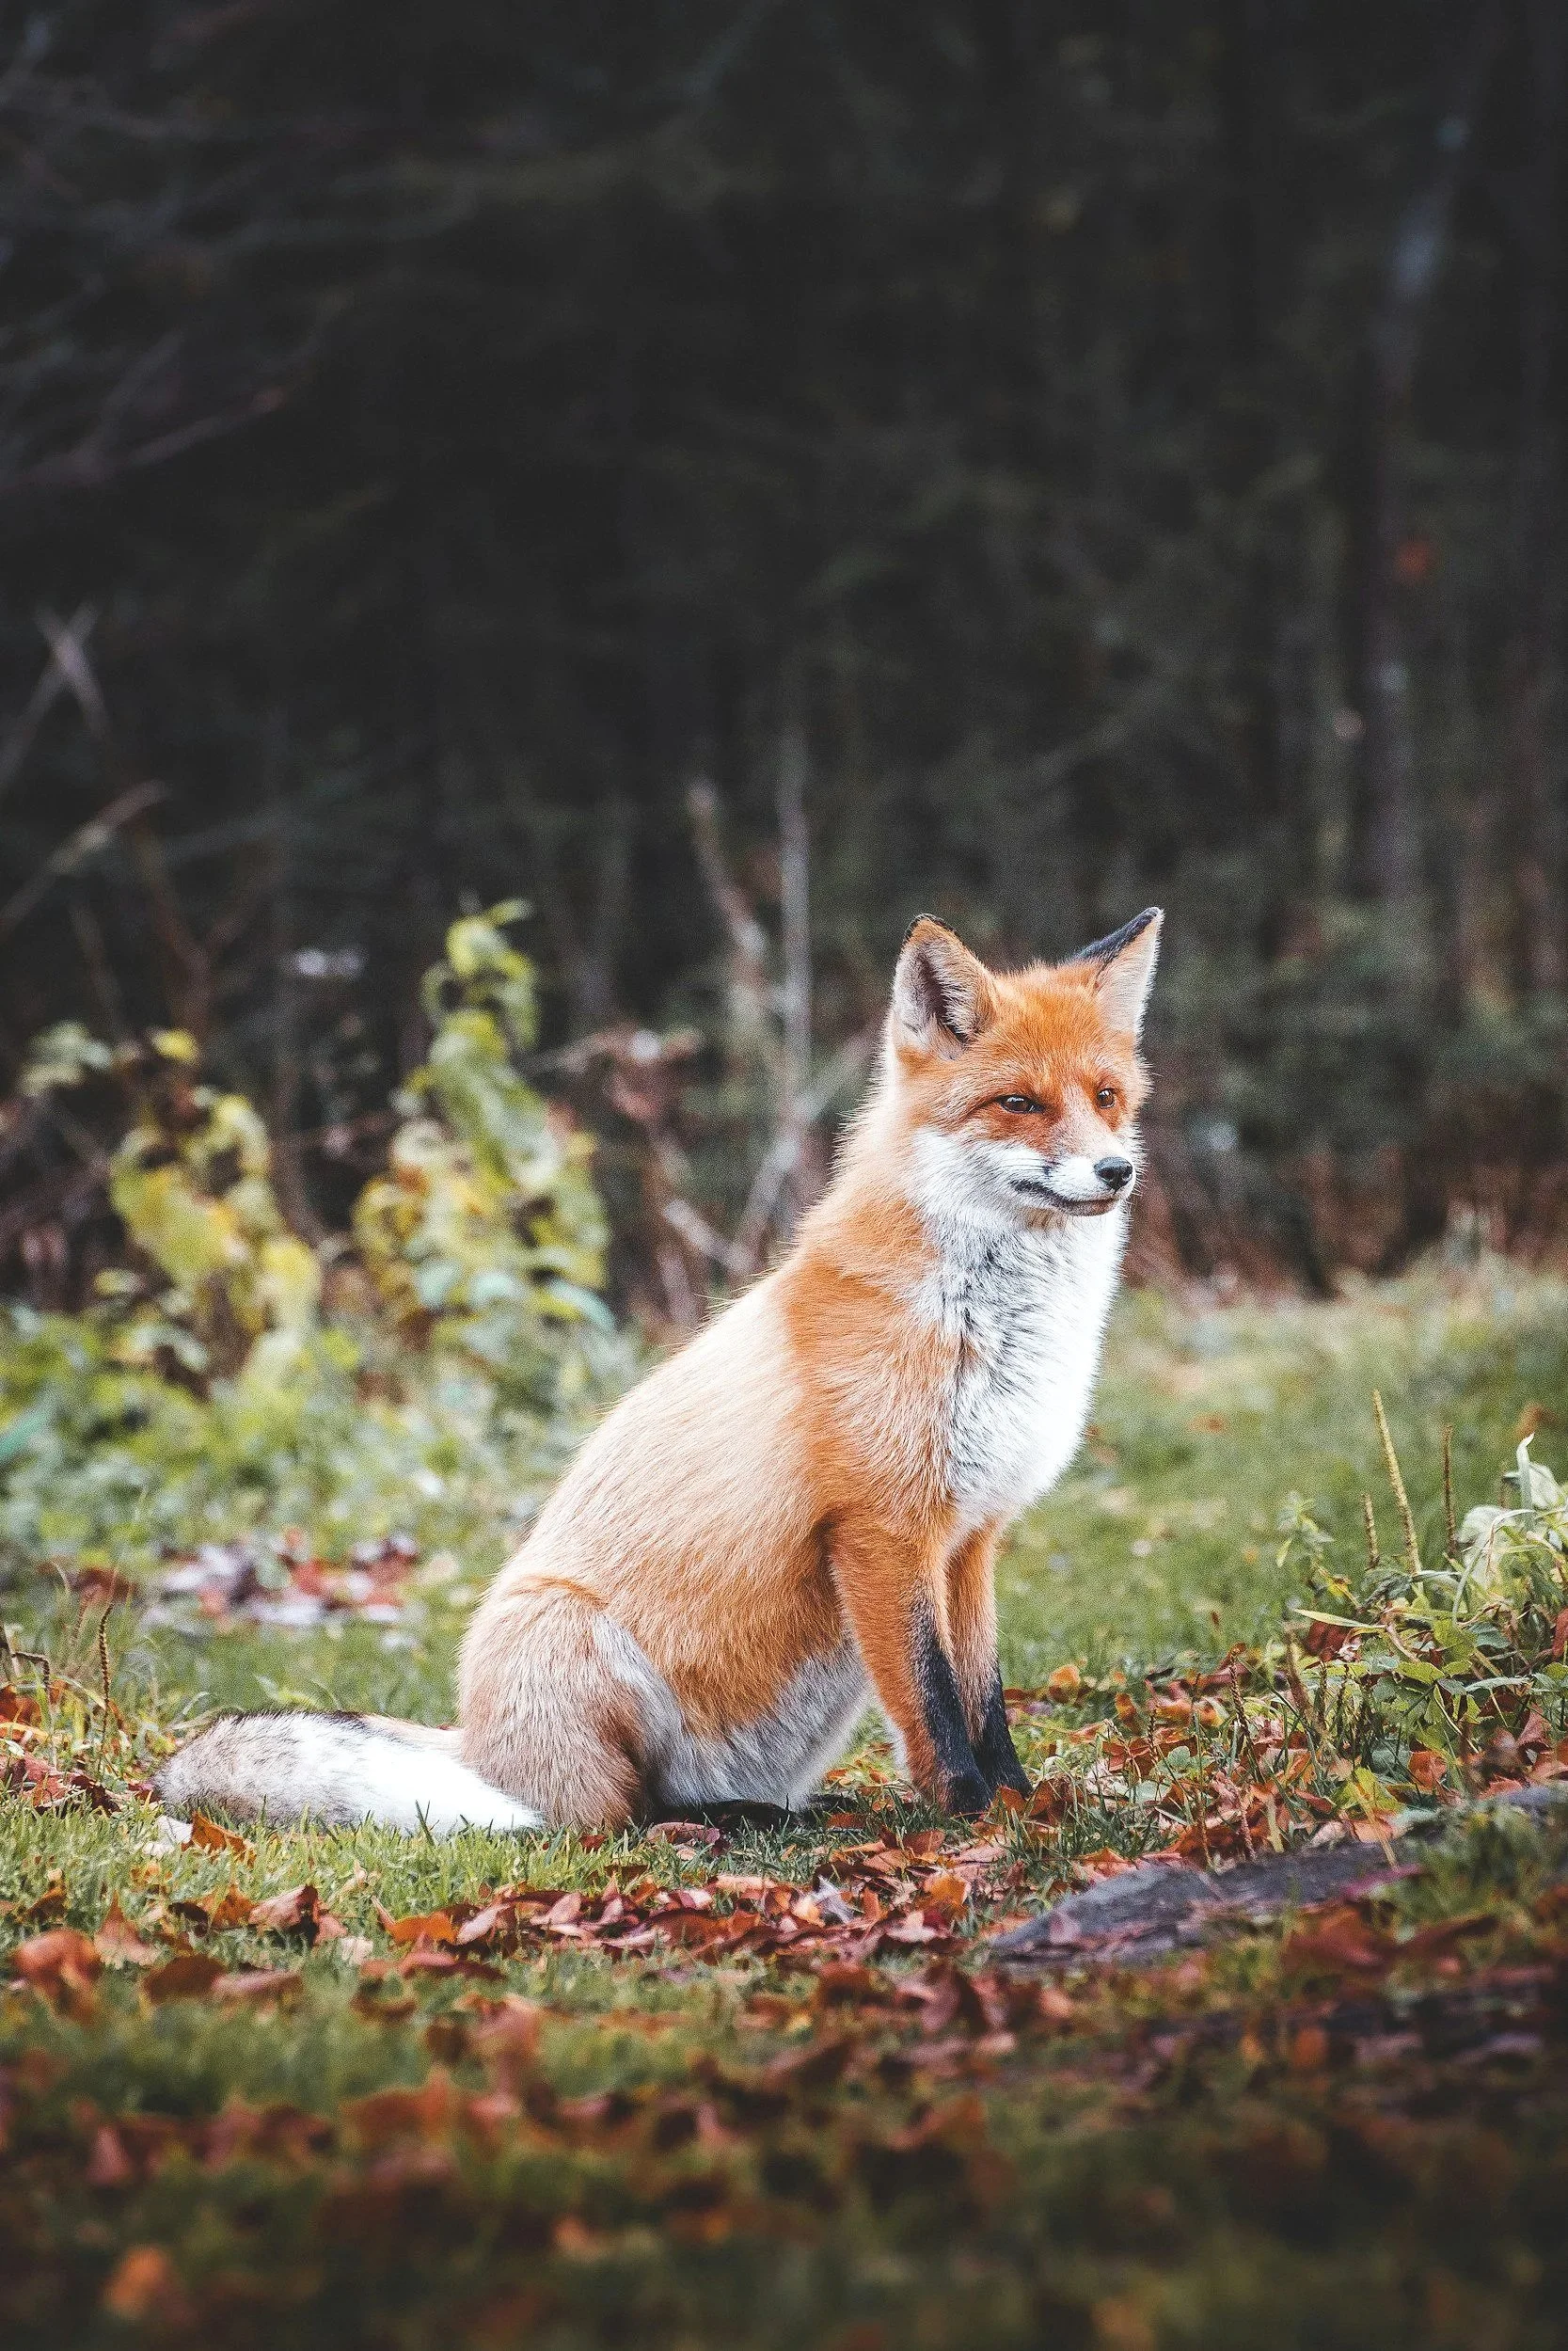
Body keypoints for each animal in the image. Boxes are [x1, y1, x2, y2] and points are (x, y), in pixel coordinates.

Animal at [155, 908, 1161, 1835]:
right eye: (1019, 1104)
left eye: (1106, 1095)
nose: (1116, 1170)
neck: (996, 1328)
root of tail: (478, 1750)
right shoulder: (881, 1530)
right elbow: (934, 1708)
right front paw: (972, 1820)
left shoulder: (972, 1534)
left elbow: (985, 1699)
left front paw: (1023, 1806)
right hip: (568, 1639)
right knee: (613, 1819)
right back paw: (723, 1823)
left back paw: (778, 1812)